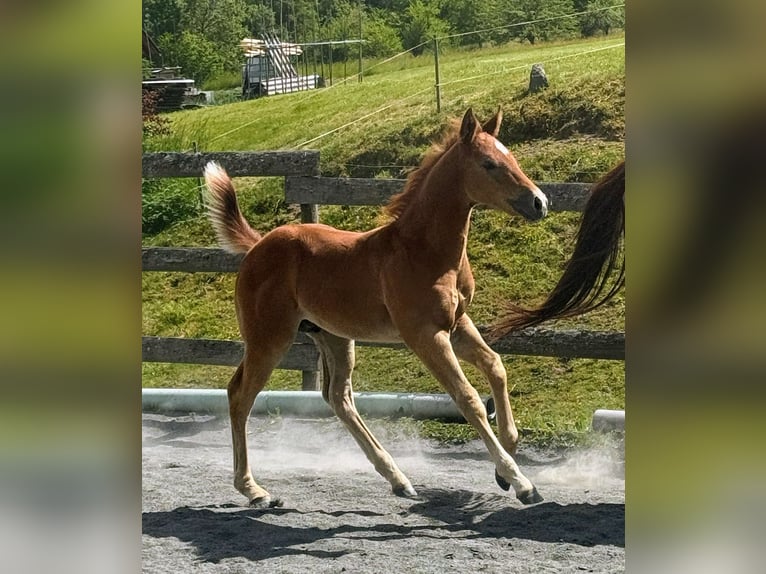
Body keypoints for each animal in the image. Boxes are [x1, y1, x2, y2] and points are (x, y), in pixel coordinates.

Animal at [203, 108, 548, 508]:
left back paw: (398, 479)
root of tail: (258, 246)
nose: (540, 202)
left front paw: (504, 468)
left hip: (333, 336)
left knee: (338, 397)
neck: (424, 251)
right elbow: (468, 398)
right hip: (269, 339)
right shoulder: (426, 336)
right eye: (489, 163)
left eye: (512, 157)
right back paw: (255, 490)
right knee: (239, 395)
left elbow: (496, 366)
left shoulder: (457, 325)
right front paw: (520, 481)